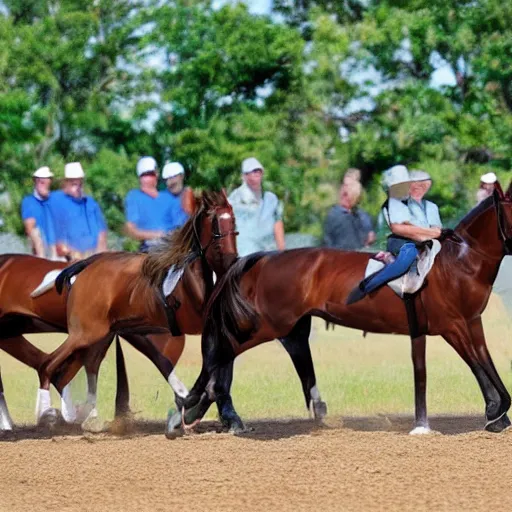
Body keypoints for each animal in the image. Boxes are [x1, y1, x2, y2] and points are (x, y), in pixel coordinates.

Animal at [171, 180, 512, 436]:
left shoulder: (471, 321)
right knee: (222, 350)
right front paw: (496, 411)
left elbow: (486, 360)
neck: (459, 263)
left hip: (291, 327)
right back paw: (189, 408)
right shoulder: (451, 326)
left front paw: (497, 414)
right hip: (269, 324)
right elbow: (476, 363)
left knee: (242, 352)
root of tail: (264, 258)